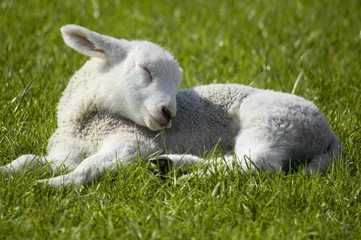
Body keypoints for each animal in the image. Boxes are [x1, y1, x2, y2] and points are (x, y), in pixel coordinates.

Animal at [1, 25, 340, 188]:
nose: (169, 113)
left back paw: (190, 178)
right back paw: (170, 165)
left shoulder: (133, 143)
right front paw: (7, 172)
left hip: (273, 122)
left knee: (257, 162)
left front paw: (52, 185)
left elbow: (88, 167)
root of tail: (328, 132)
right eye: (145, 70)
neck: (86, 125)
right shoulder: (65, 154)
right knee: (235, 159)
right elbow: (27, 159)